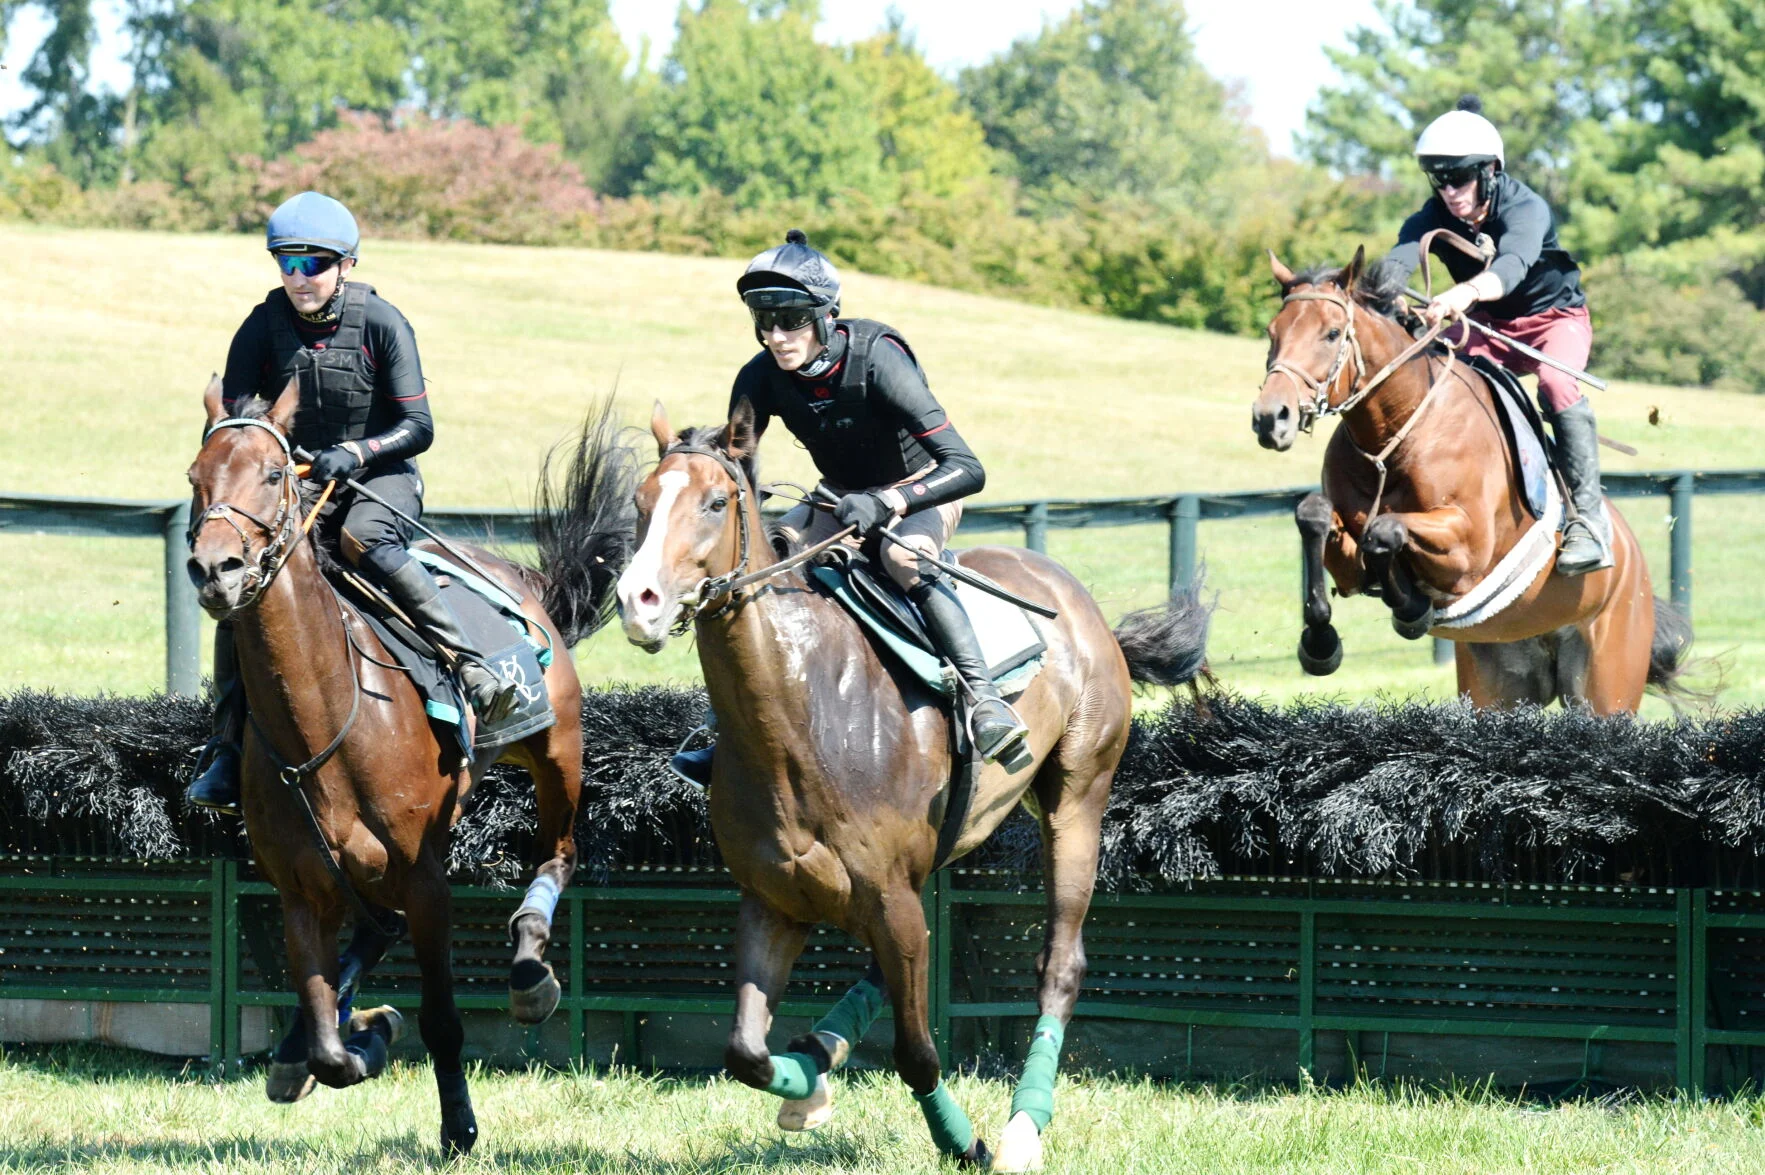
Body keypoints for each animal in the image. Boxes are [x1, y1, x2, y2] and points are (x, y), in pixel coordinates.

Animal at [183, 376, 632, 1157]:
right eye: (194, 477)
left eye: (272, 474)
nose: (216, 569)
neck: (324, 719)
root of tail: (523, 578)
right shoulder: (301, 889)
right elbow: (329, 1042)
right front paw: (351, 1037)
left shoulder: (427, 879)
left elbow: (441, 1020)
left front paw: (458, 1125)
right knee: (372, 936)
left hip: (557, 752)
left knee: (559, 853)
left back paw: (530, 972)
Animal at [608, 399, 1212, 1170]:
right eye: (640, 501)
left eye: (716, 502)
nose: (639, 601)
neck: (800, 711)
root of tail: (1081, 603)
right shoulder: (774, 899)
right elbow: (744, 1050)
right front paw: (806, 1081)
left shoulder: (888, 896)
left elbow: (917, 1053)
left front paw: (963, 1140)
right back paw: (820, 1054)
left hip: (1077, 798)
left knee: (1060, 961)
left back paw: (1022, 1126)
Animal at [1250, 247, 1689, 712]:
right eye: (1272, 332)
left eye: (1332, 334)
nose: (1270, 418)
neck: (1400, 429)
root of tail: (1637, 564)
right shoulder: (1350, 565)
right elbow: (1315, 516)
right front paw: (1320, 641)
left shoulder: (1468, 552)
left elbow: (1385, 530)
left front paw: (1411, 609)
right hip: (1496, 683)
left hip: (1605, 687)